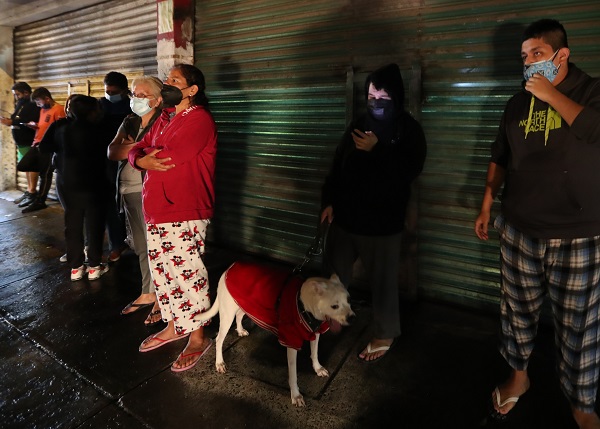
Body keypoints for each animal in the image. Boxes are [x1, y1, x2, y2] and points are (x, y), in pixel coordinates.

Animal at [196, 260, 356, 404]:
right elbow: (293, 374)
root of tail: (229, 268)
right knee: (219, 339)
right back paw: (219, 362)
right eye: (334, 306)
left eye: (349, 300)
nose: (352, 318)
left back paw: (240, 330)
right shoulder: (291, 342)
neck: (305, 304)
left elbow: (314, 353)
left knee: (239, 315)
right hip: (227, 313)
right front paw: (296, 395)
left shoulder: (315, 332)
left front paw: (318, 368)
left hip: (244, 304)